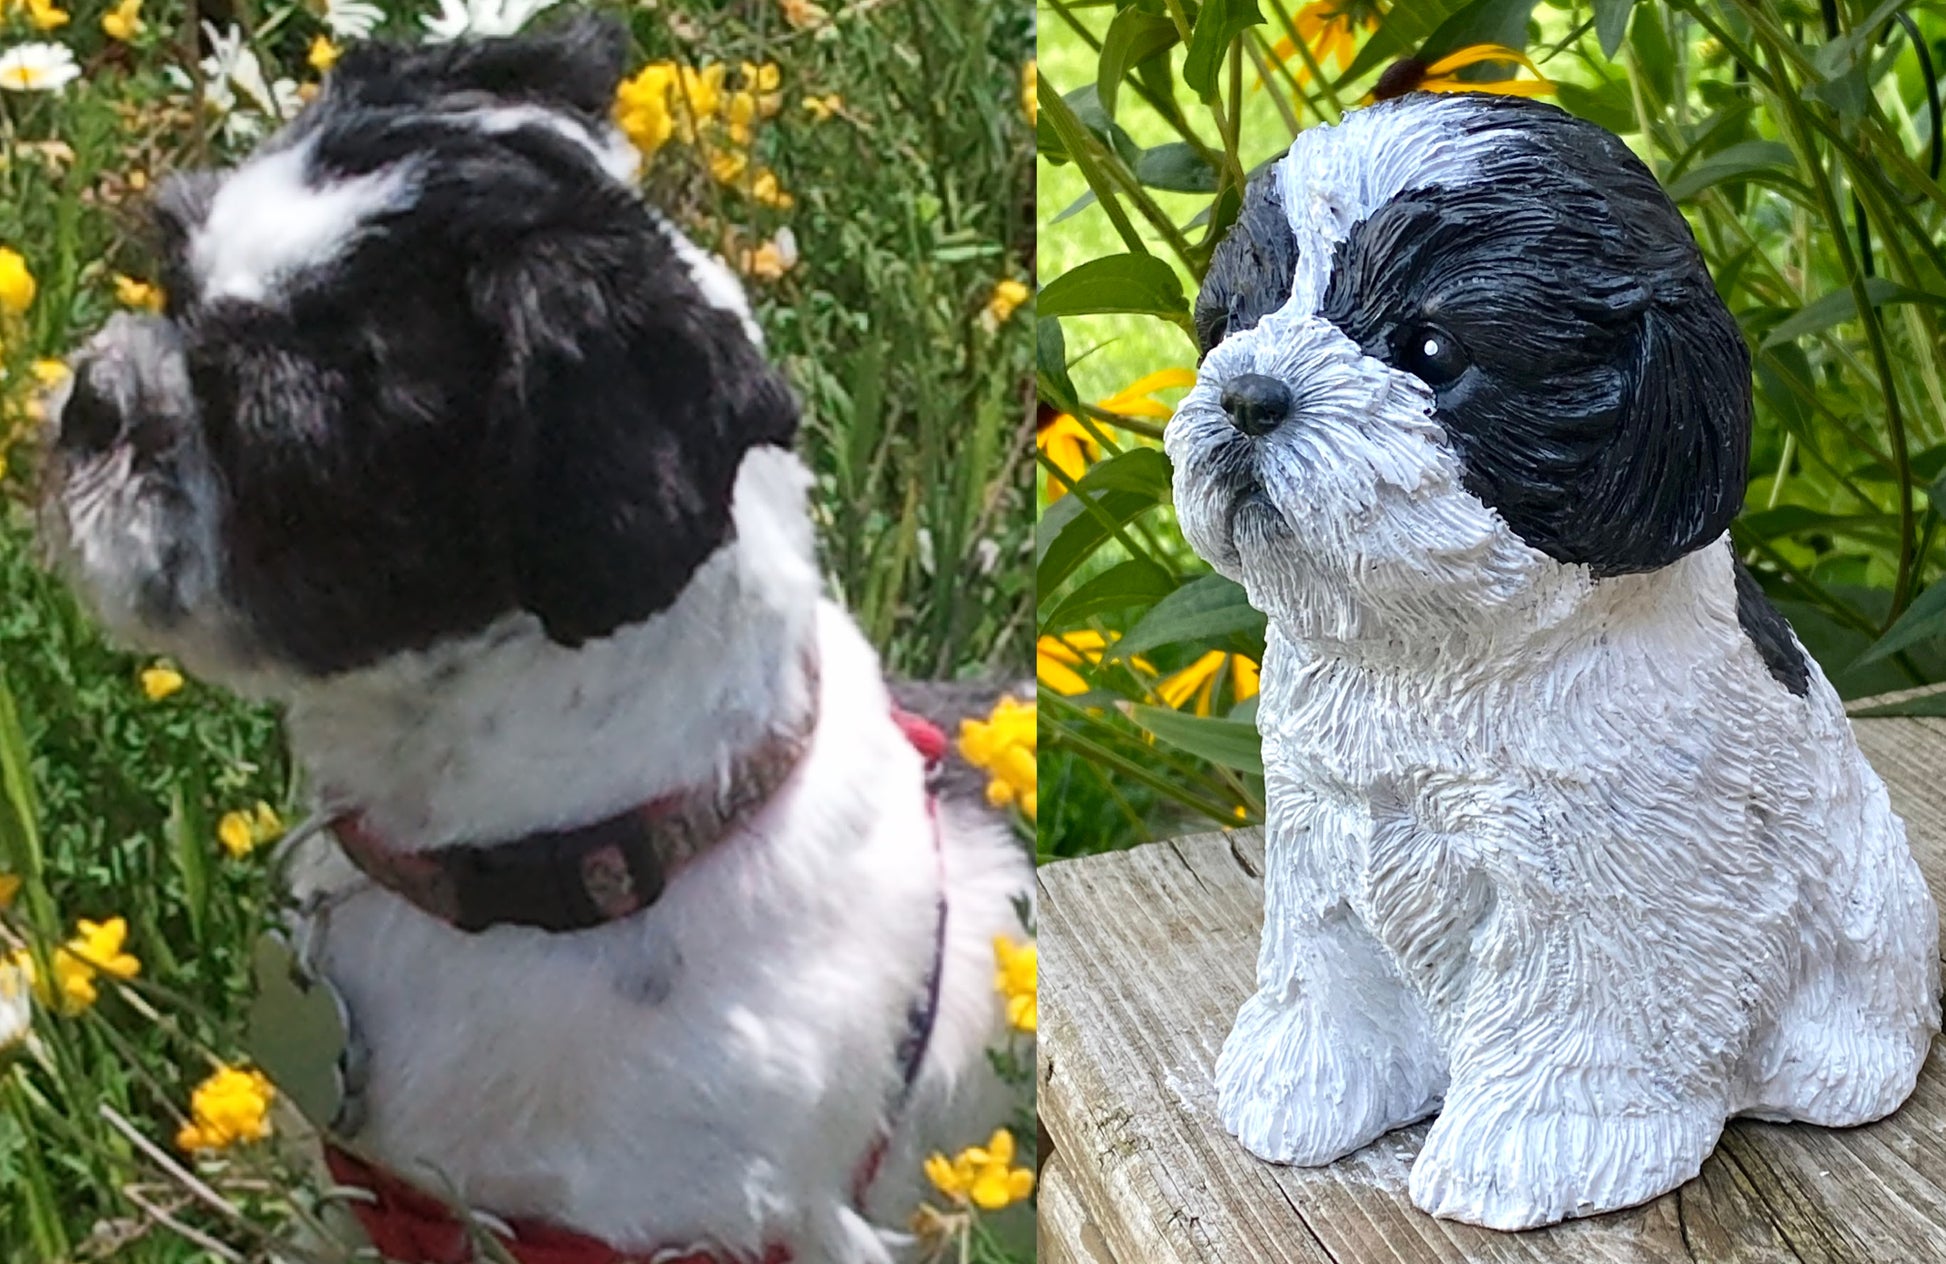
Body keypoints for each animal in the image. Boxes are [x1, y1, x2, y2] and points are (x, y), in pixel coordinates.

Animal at [1159, 93, 1938, 1228]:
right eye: (1231, 324)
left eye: (1431, 347)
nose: (1249, 393)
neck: (1435, 651)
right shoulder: (1318, 829)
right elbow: (1325, 967)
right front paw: (1299, 1087)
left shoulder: (1597, 889)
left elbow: (1570, 1022)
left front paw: (1532, 1153)